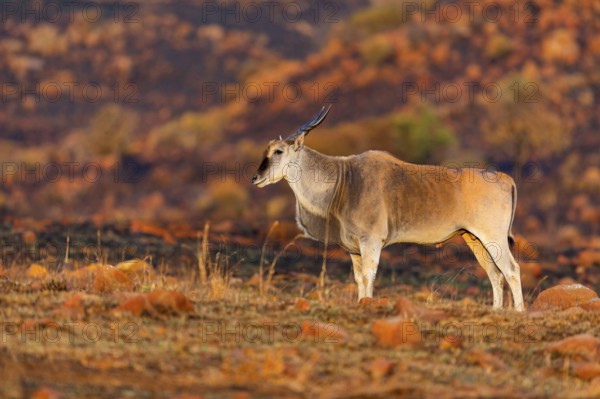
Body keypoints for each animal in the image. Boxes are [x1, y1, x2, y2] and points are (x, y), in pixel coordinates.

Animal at [253, 107, 524, 312]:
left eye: (278, 151)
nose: (256, 177)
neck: (344, 179)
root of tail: (506, 178)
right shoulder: (355, 249)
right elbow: (359, 278)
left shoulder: (371, 241)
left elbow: (368, 276)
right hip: (475, 239)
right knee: (495, 274)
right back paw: (496, 311)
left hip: (493, 237)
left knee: (511, 270)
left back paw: (519, 313)